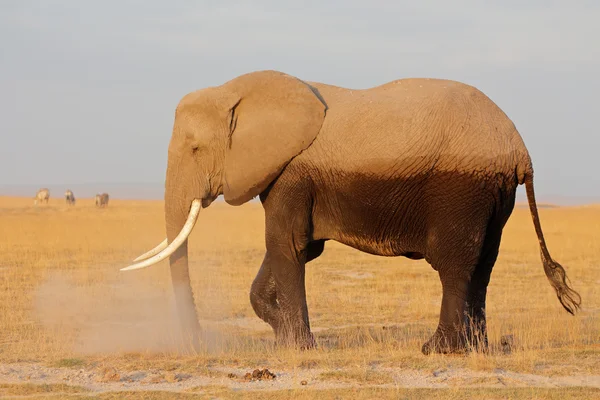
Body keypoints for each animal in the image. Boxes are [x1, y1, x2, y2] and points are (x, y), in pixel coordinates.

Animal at [123, 70, 580, 354]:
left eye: (196, 149)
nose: (199, 343)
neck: (238, 91)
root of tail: (520, 150)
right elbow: (295, 248)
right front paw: (282, 334)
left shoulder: (292, 173)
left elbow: (286, 244)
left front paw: (297, 348)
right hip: (494, 195)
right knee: (484, 264)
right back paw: (476, 350)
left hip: (463, 189)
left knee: (456, 265)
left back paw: (438, 350)